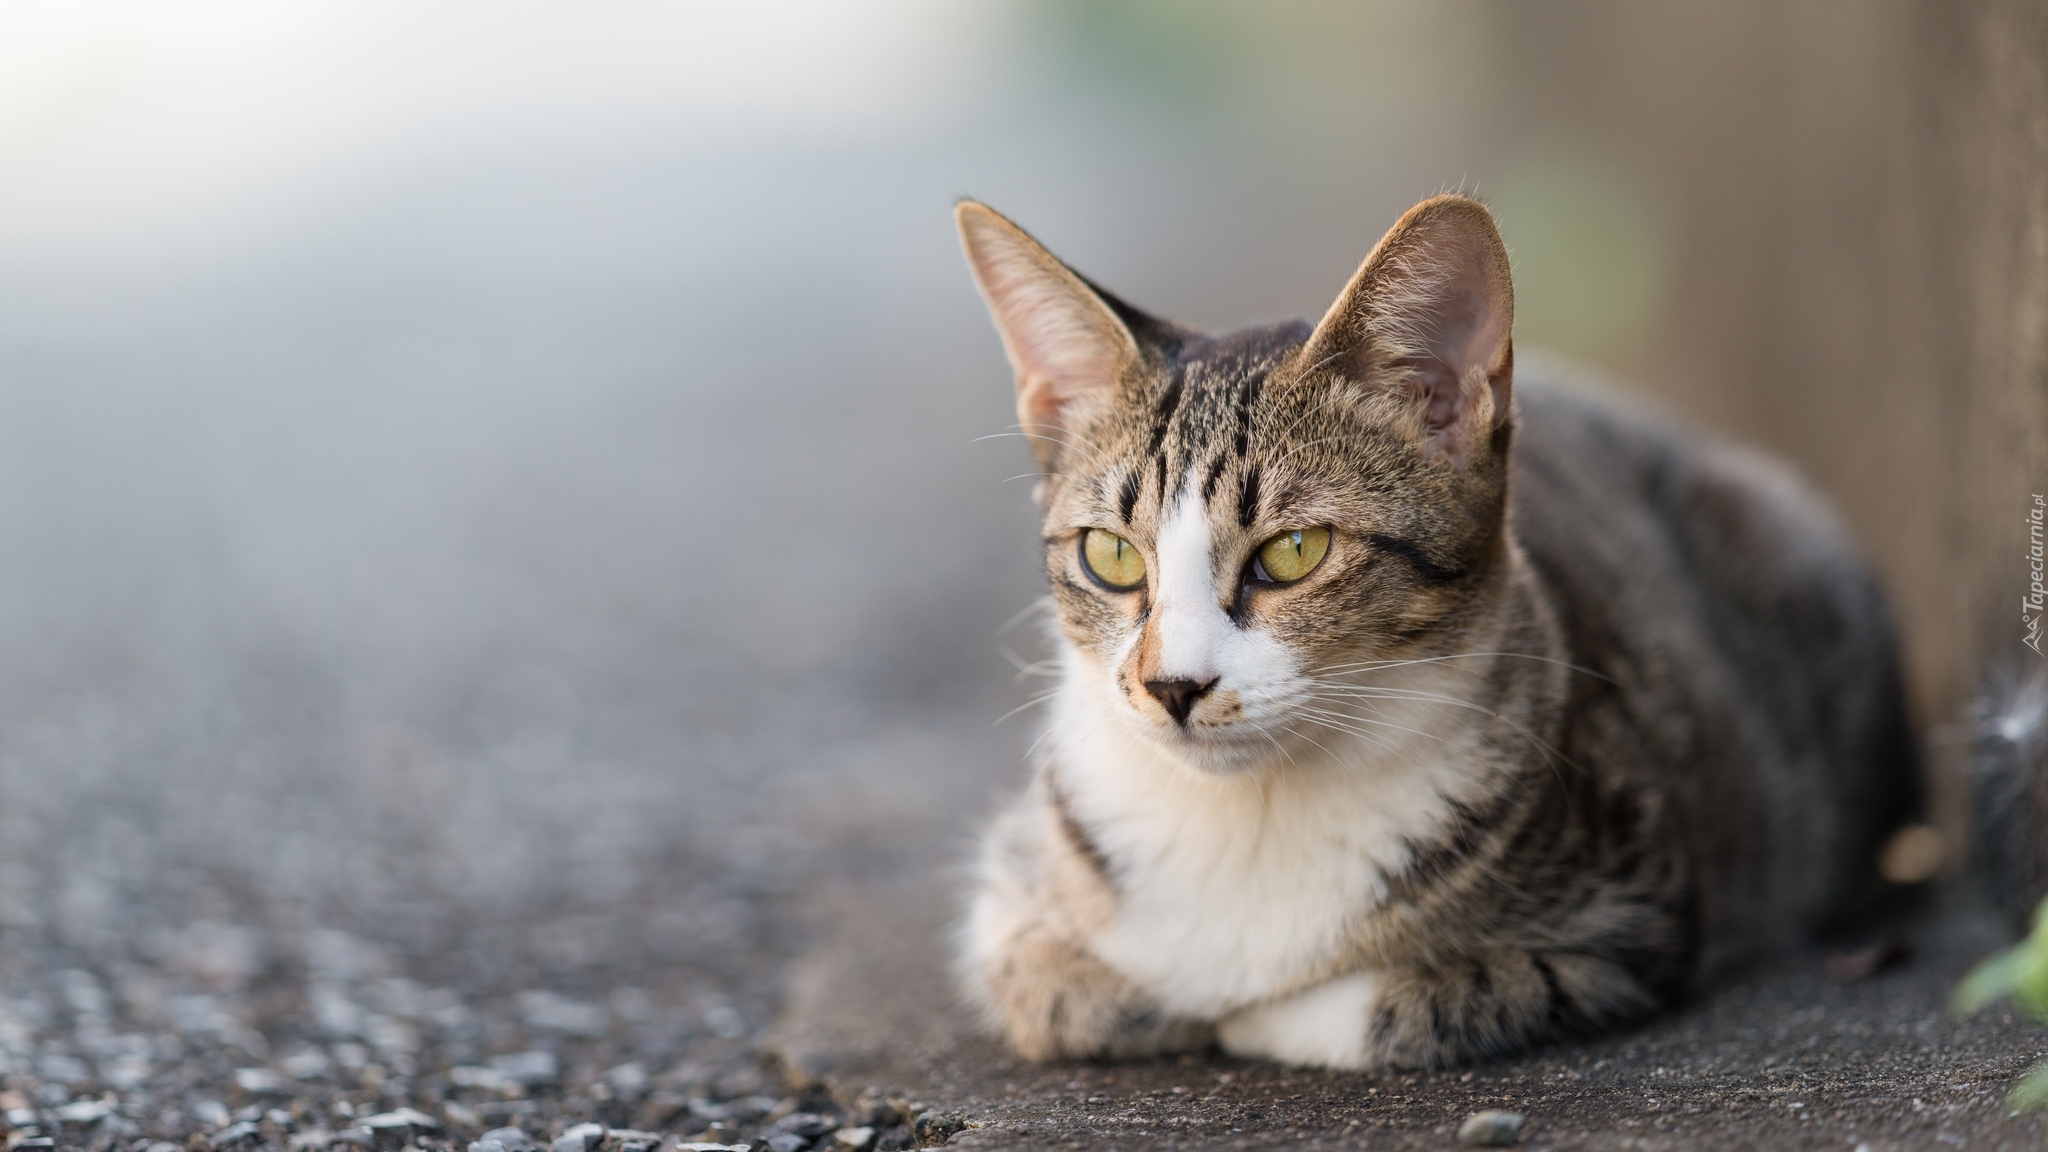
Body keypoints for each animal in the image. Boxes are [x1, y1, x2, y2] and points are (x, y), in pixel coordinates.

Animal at [942, 192, 1916, 1065]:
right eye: (1110, 555)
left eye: (1294, 551)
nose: (1172, 686)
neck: (1253, 813)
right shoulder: (1014, 888)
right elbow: (1051, 989)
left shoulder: (1630, 922)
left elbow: (1394, 1002)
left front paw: (1251, 1013)